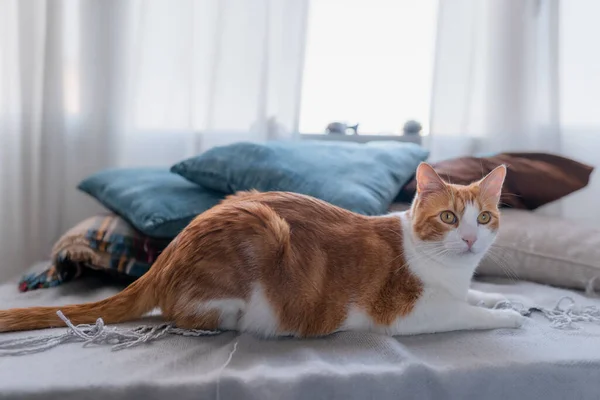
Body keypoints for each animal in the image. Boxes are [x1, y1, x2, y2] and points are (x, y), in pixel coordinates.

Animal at [0, 162, 524, 338]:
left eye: (484, 218)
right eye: (449, 218)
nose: (470, 239)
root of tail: (169, 250)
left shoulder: (457, 286)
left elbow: (475, 296)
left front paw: (508, 298)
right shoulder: (409, 313)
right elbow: (468, 314)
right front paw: (509, 316)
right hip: (261, 227)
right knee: (183, 313)